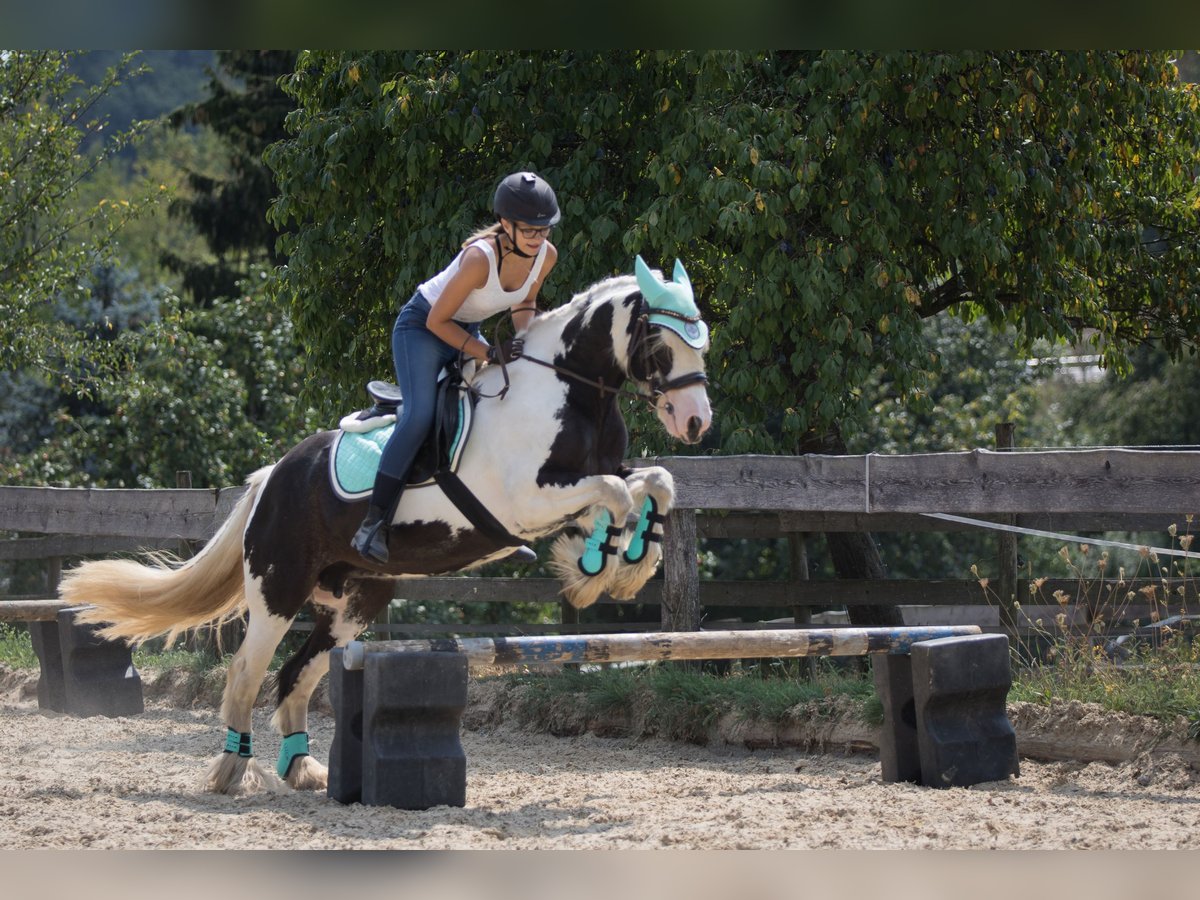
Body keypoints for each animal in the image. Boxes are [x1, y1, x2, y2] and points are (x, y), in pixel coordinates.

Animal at [58, 255, 710, 796]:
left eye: (700, 339)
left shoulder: (592, 477)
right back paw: (230, 771)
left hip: (355, 602)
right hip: (277, 588)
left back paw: (302, 769)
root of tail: (273, 475)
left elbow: (653, 482)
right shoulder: (526, 500)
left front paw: (624, 564)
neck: (571, 389)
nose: (696, 422)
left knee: (296, 674)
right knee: (247, 673)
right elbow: (617, 494)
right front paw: (598, 566)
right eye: (660, 340)